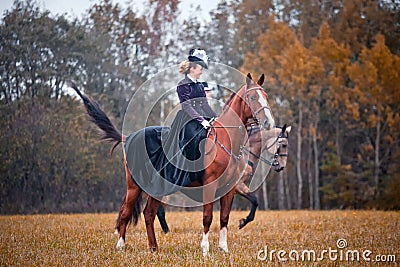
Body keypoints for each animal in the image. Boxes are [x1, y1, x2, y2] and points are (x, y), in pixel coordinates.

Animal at [70, 72, 274, 256]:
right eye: (252, 97)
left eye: (266, 96)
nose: (268, 122)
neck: (225, 140)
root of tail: (129, 137)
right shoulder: (211, 184)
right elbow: (207, 217)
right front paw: (205, 249)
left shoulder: (230, 187)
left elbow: (224, 217)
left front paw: (224, 248)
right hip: (133, 186)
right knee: (127, 213)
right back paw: (121, 246)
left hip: (156, 189)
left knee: (148, 214)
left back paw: (154, 248)